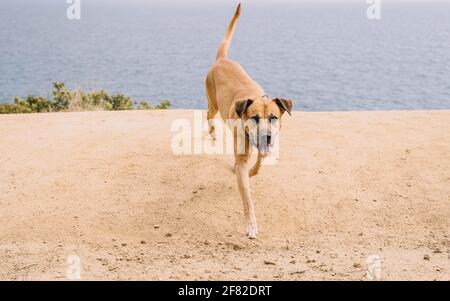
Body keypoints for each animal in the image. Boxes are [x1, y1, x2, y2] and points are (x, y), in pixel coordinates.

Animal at [205, 1, 292, 237]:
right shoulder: (243, 156)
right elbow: (247, 198)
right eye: (254, 118)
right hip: (213, 103)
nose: (266, 136)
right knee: (208, 115)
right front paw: (251, 225)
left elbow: (259, 164)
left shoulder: (264, 148)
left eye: (273, 117)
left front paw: (254, 170)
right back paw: (212, 134)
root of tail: (222, 60)